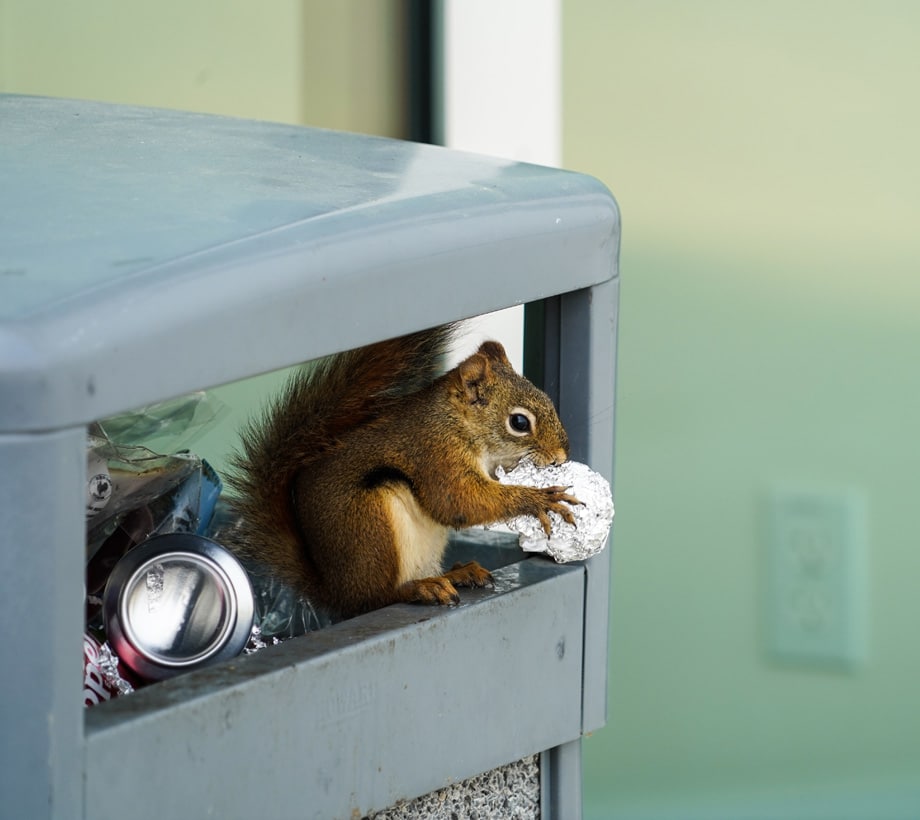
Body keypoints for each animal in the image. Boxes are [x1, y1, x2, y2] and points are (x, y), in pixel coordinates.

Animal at [226, 324, 580, 620]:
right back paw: (418, 588)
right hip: (371, 522)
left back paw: (456, 574)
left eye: (547, 398)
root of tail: (334, 591)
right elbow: (456, 502)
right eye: (519, 422)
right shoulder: (436, 455)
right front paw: (538, 498)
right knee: (375, 599)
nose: (560, 458)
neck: (457, 422)